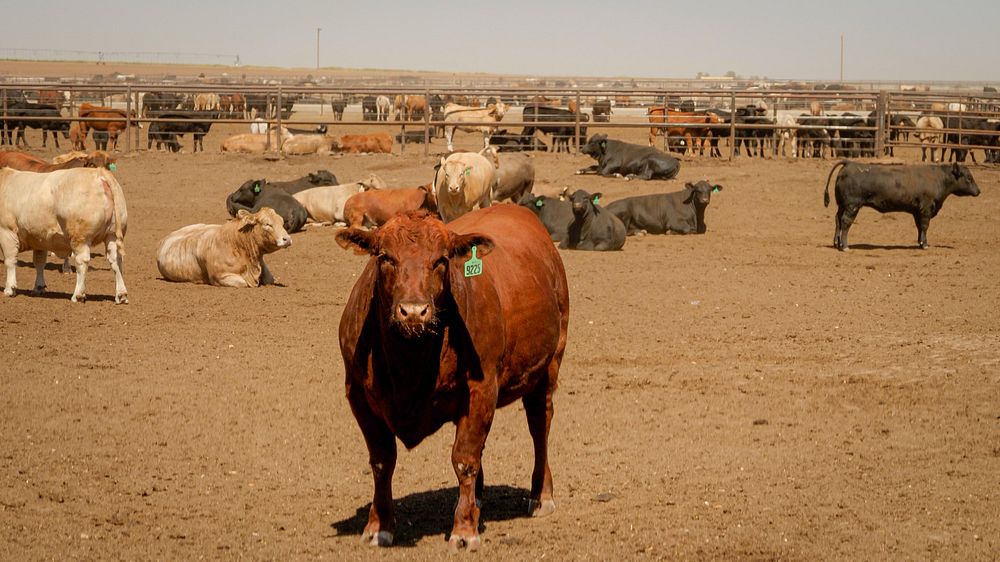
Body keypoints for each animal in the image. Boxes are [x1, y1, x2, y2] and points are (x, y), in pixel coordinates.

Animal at [0, 166, 129, 302]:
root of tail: (99, 173)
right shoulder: (40, 238)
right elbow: (39, 262)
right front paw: (38, 288)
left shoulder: (6, 232)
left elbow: (10, 260)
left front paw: (9, 289)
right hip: (112, 235)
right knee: (116, 260)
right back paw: (121, 294)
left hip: (80, 238)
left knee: (82, 262)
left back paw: (78, 294)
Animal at [336, 203, 572, 548]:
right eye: (385, 257)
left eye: (441, 260)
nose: (414, 311)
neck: (409, 363)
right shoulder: (358, 396)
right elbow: (382, 460)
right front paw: (379, 525)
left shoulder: (482, 388)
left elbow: (464, 459)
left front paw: (464, 530)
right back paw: (478, 499)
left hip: (548, 367)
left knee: (540, 426)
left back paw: (540, 495)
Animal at [824, 161, 980, 250]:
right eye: (969, 178)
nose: (979, 191)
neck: (938, 179)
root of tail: (849, 164)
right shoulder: (926, 209)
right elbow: (925, 226)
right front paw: (925, 245)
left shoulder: (917, 211)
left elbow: (919, 227)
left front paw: (920, 242)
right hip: (852, 205)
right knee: (845, 222)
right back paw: (845, 246)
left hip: (842, 205)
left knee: (837, 220)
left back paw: (837, 243)